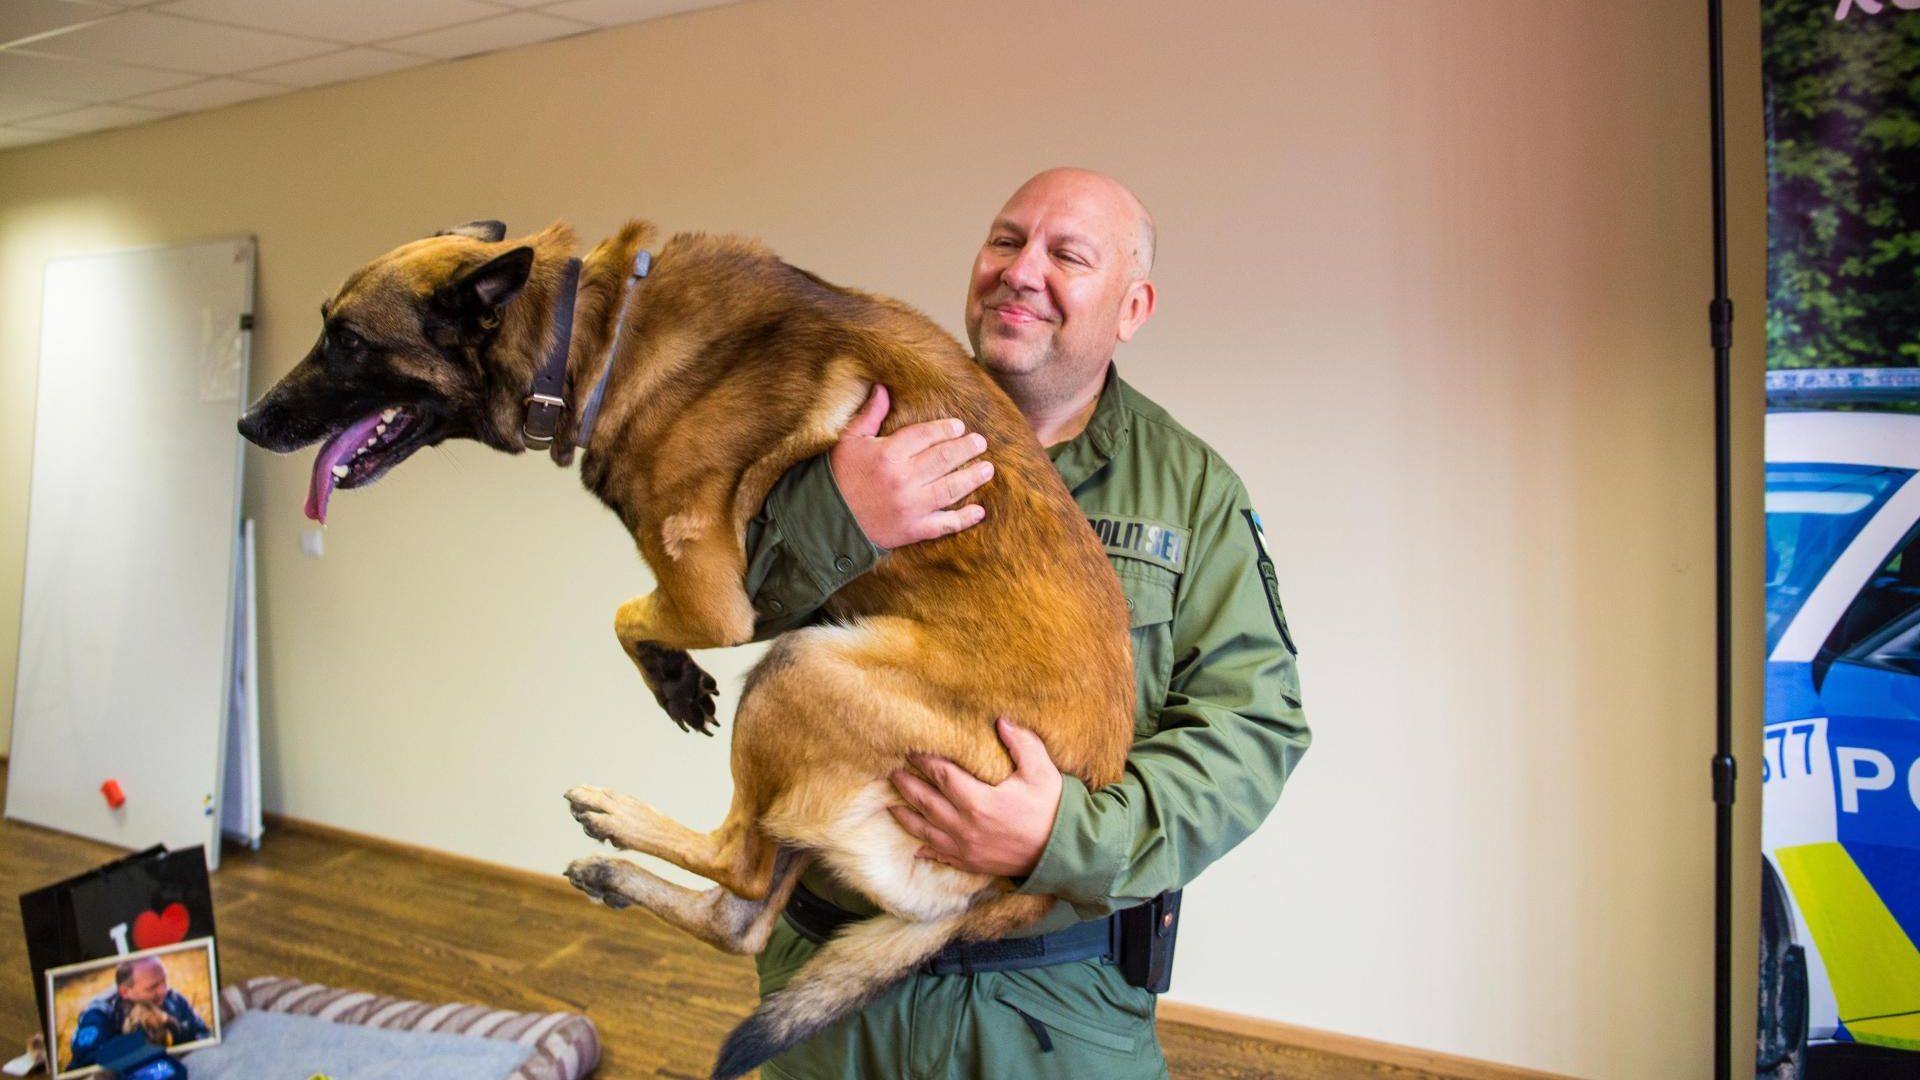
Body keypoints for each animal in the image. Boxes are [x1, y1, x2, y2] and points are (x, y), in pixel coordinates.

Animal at [240, 219, 1136, 1076]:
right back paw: (613, 873)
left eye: (349, 340)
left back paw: (614, 814)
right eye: (326, 327)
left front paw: (671, 678)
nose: (248, 423)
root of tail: (1008, 896)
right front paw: (674, 681)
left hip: (796, 666)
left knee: (736, 860)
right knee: (739, 919)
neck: (595, 329)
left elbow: (622, 613)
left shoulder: (714, 601)